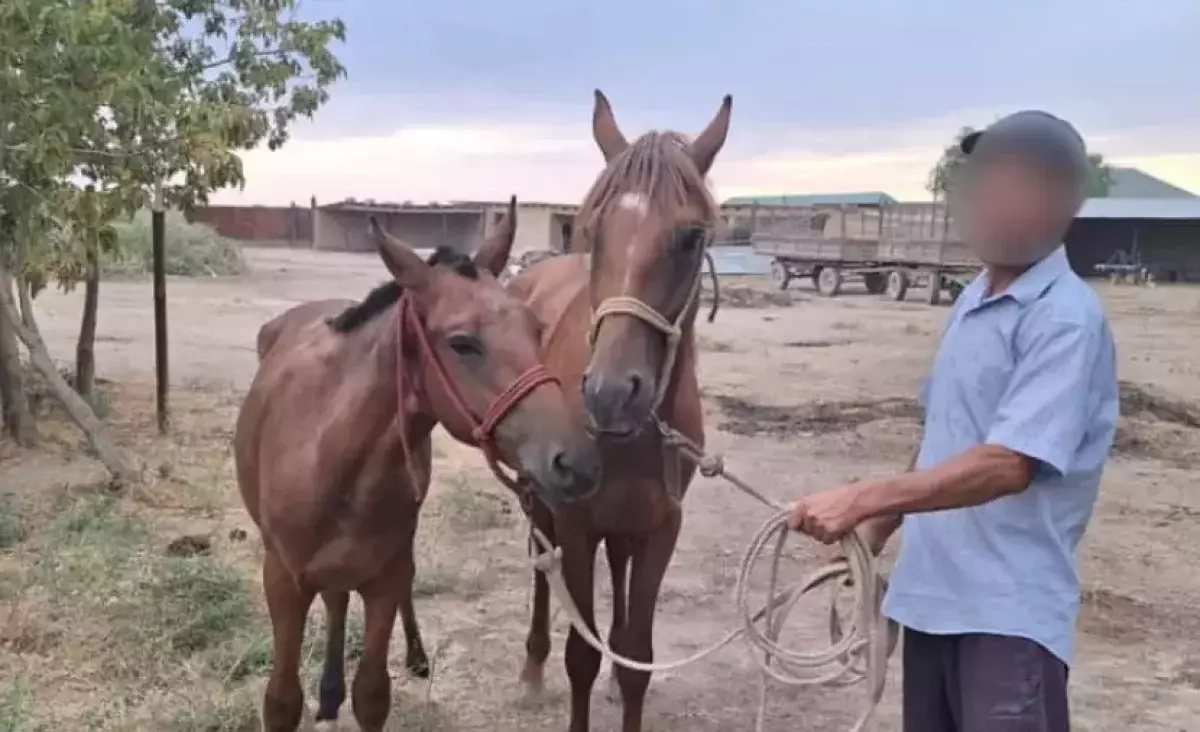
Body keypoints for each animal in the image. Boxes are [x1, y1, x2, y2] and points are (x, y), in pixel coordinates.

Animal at [236, 199, 600, 729]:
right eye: (463, 342)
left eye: (535, 329)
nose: (577, 462)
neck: (331, 456)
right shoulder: (282, 582)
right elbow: (282, 700)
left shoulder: (385, 579)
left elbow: (372, 693)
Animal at [506, 92, 729, 729]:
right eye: (593, 230)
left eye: (691, 237)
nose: (609, 393)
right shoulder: (577, 522)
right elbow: (580, 654)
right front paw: (564, 668)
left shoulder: (661, 528)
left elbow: (636, 659)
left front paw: (618, 678)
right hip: (541, 498)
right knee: (540, 559)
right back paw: (531, 667)